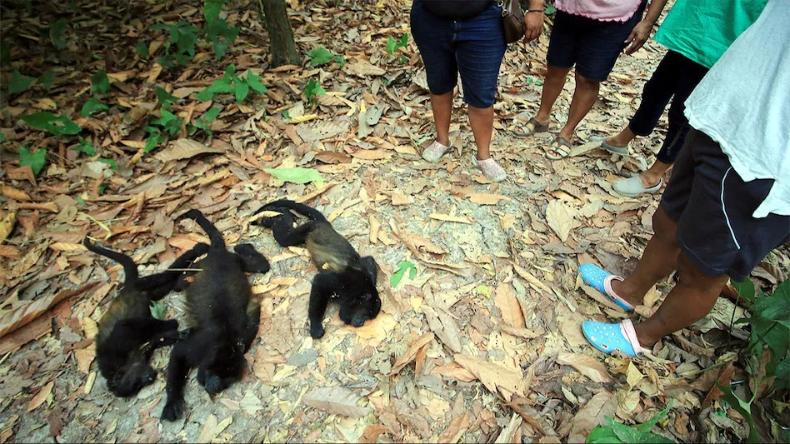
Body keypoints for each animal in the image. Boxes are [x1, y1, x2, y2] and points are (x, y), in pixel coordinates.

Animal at [83, 238, 209, 398]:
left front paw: (172, 323)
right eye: (137, 386)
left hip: (140, 285)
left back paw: (196, 251)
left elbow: (125, 325)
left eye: (134, 382)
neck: (124, 365)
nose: (149, 378)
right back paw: (183, 279)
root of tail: (124, 289)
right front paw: (180, 334)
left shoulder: (116, 345)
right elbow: (155, 341)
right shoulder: (140, 355)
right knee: (167, 285)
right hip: (147, 292)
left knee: (164, 275)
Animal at [162, 210, 272, 422]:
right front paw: (172, 402)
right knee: (180, 283)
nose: (215, 386)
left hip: (236, 261)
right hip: (204, 264)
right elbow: (178, 353)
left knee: (261, 266)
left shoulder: (243, 339)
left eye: (228, 380)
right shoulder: (201, 344)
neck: (225, 341)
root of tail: (219, 254)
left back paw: (245, 247)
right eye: (217, 374)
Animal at [251, 199, 380, 338]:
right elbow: (319, 281)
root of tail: (325, 225)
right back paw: (276, 217)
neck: (360, 290)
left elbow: (369, 260)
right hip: (308, 228)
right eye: (366, 315)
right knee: (284, 238)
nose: (361, 323)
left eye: (368, 318)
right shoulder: (345, 283)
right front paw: (316, 327)